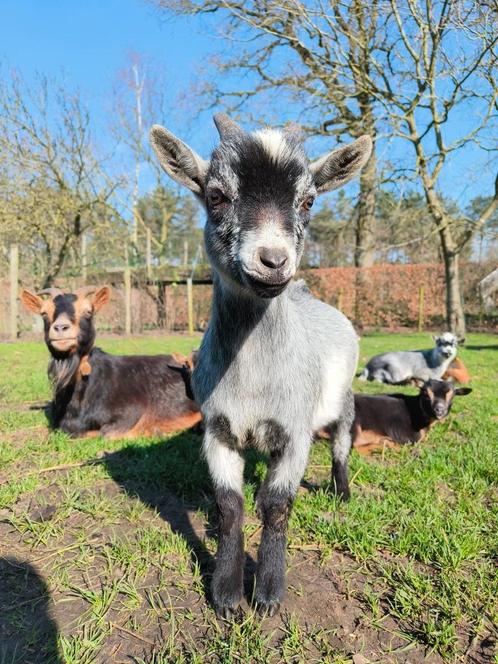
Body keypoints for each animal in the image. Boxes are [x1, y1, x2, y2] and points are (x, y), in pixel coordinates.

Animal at [150, 114, 372, 616]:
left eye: (309, 200)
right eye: (216, 195)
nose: (273, 261)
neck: (252, 381)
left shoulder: (294, 432)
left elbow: (276, 505)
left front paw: (269, 592)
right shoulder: (218, 430)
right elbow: (230, 506)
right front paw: (227, 595)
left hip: (343, 396)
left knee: (342, 442)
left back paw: (343, 491)